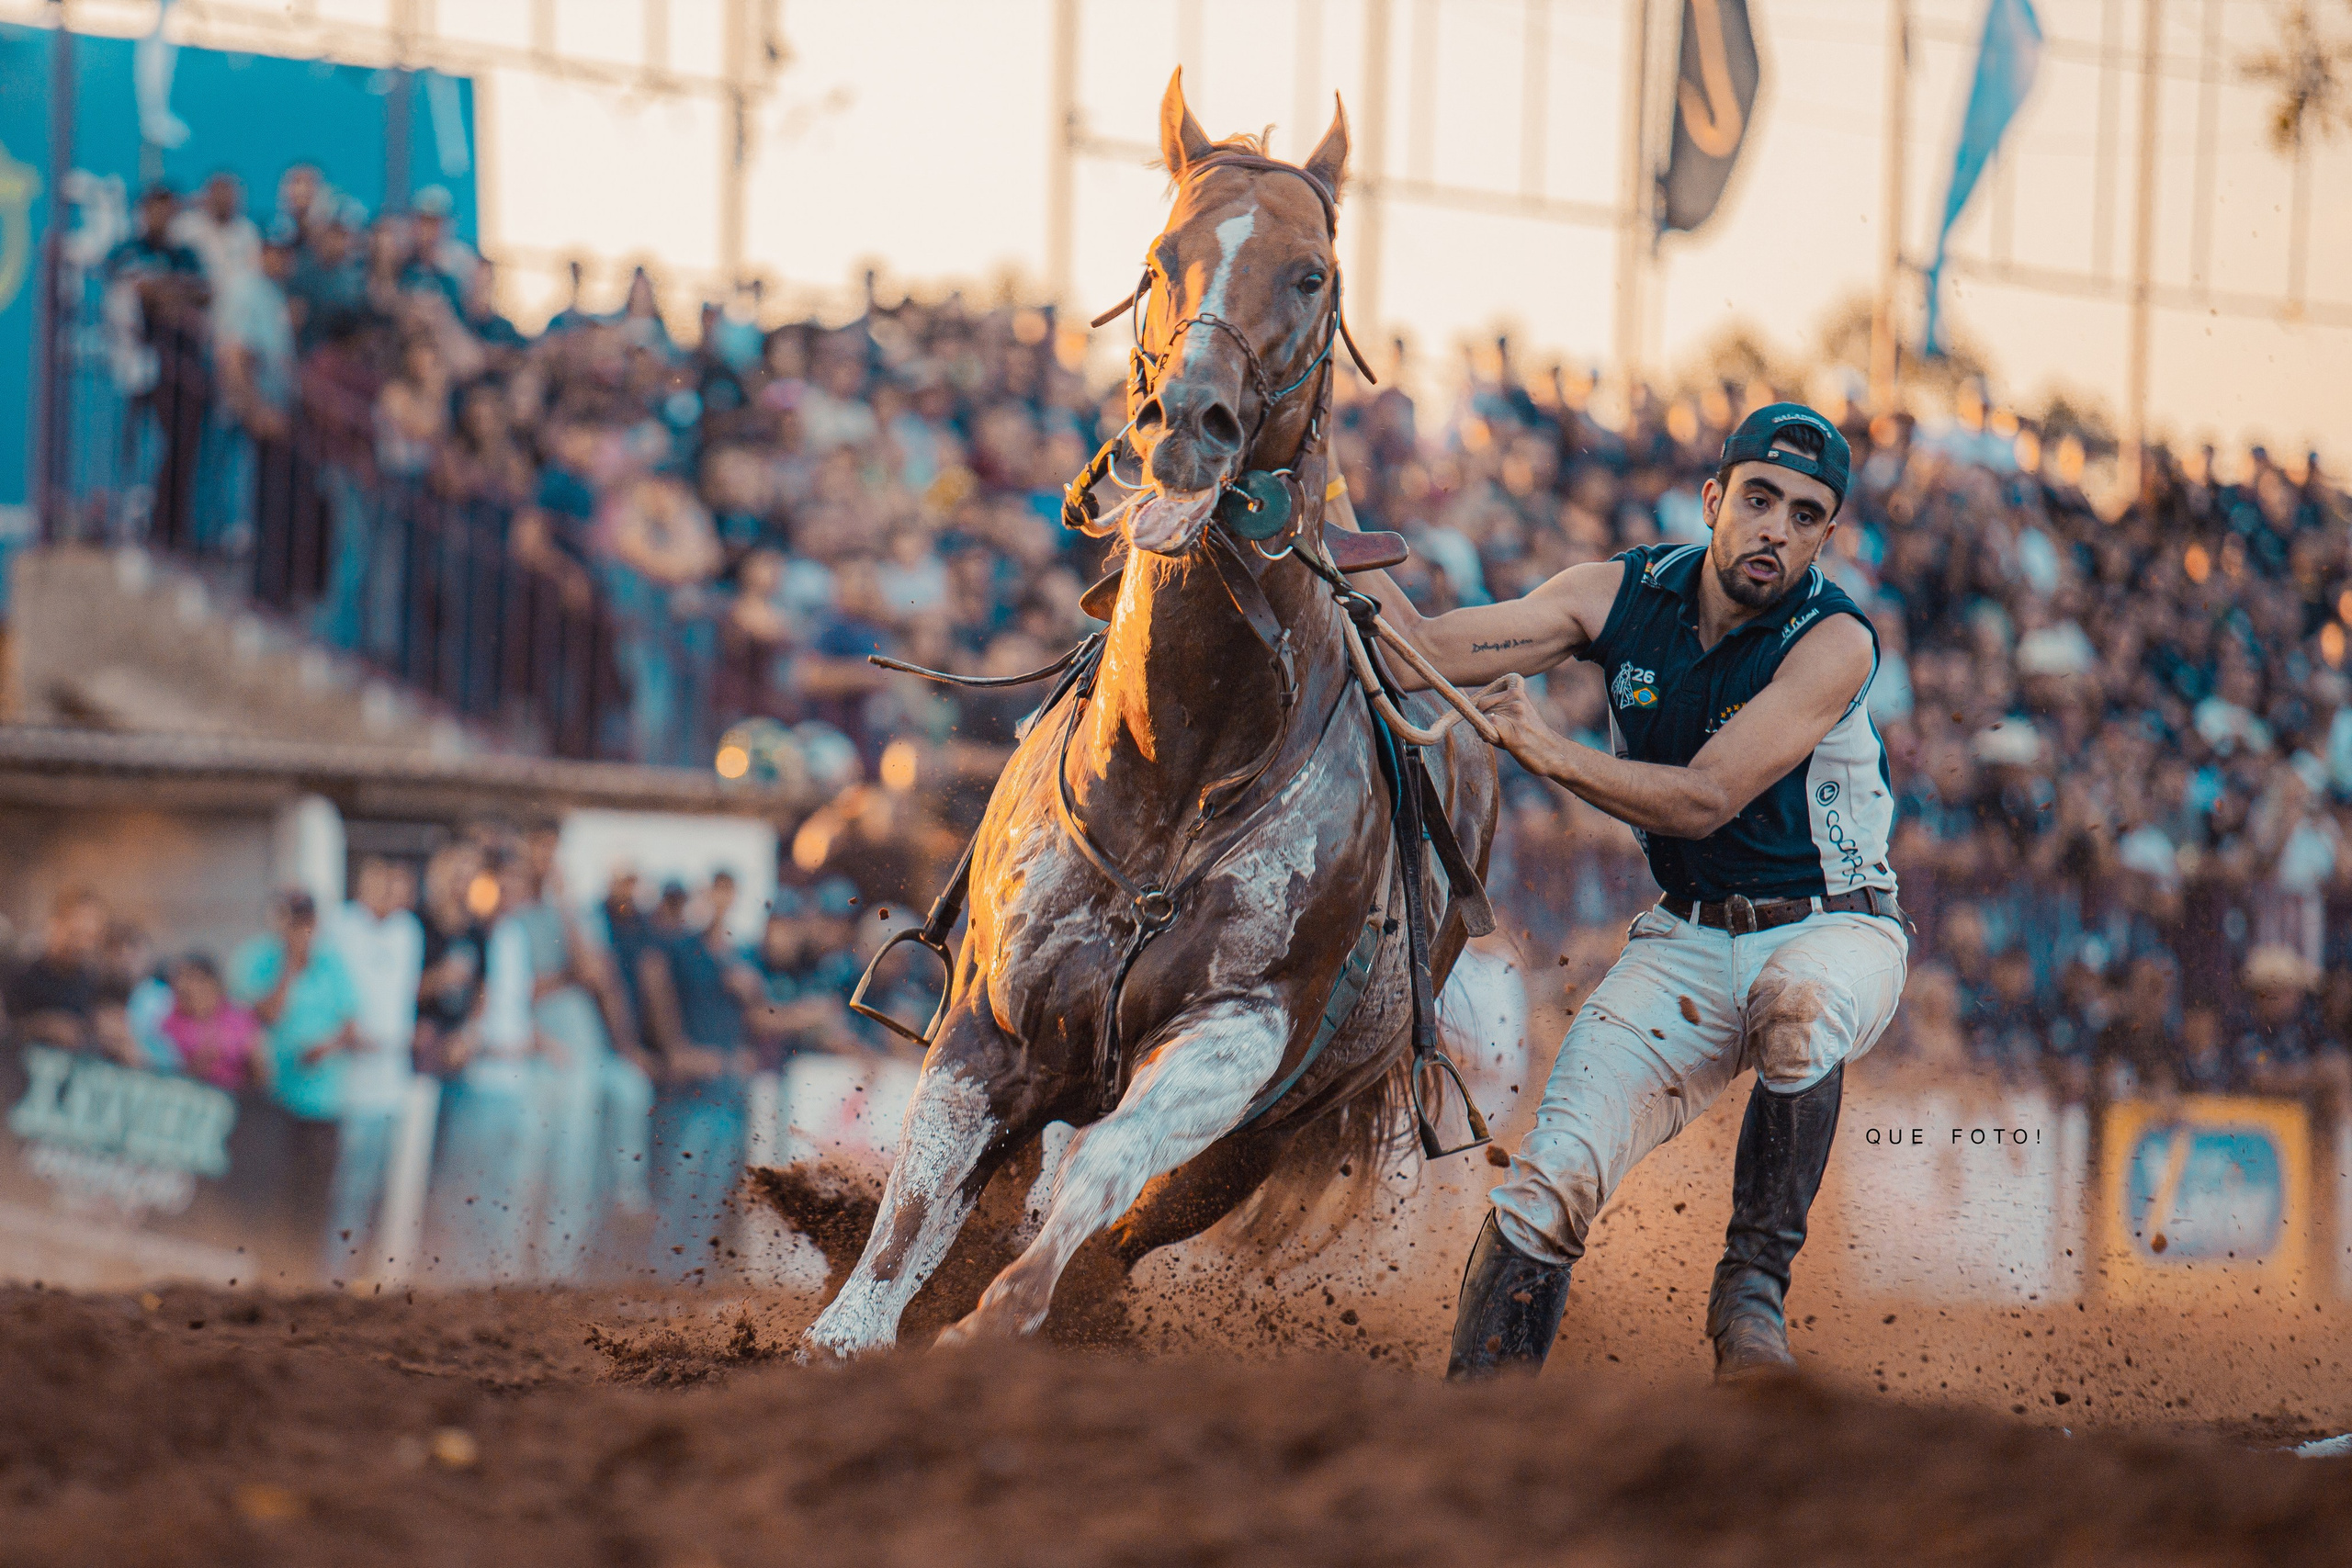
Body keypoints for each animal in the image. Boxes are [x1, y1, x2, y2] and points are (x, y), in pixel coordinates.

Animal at [795, 71, 1500, 1360]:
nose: (1188, 422)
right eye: (1160, 258)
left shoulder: (1239, 1033)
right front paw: (846, 1330)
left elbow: (1101, 1178)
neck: (1175, 770)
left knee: (1130, 1222)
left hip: (1273, 1127)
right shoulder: (991, 1028)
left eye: (1309, 272)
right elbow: (909, 1215)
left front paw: (1002, 1315)